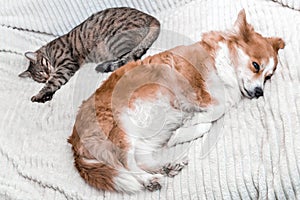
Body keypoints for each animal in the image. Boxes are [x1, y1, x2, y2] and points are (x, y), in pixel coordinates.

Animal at [18, 6, 159, 102]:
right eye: (41, 78)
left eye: (42, 69)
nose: (47, 76)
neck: (50, 52)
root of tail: (151, 17)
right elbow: (53, 84)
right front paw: (46, 96)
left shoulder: (66, 66)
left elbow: (52, 83)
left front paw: (39, 95)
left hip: (116, 40)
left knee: (130, 58)